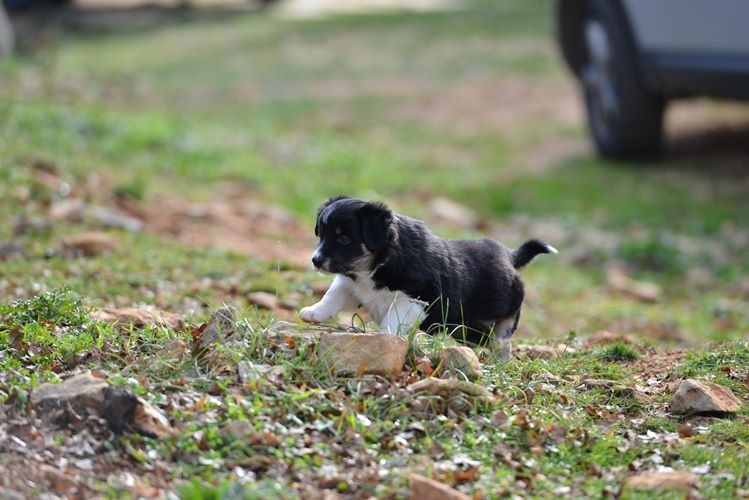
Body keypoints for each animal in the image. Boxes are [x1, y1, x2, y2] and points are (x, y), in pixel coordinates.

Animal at [300, 195, 556, 348]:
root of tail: (509, 256)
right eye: (321, 234)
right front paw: (313, 312)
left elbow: (393, 319)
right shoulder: (351, 284)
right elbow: (332, 296)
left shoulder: (417, 298)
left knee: (501, 338)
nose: (315, 261)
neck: (376, 264)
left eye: (344, 238)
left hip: (501, 316)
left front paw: (383, 336)